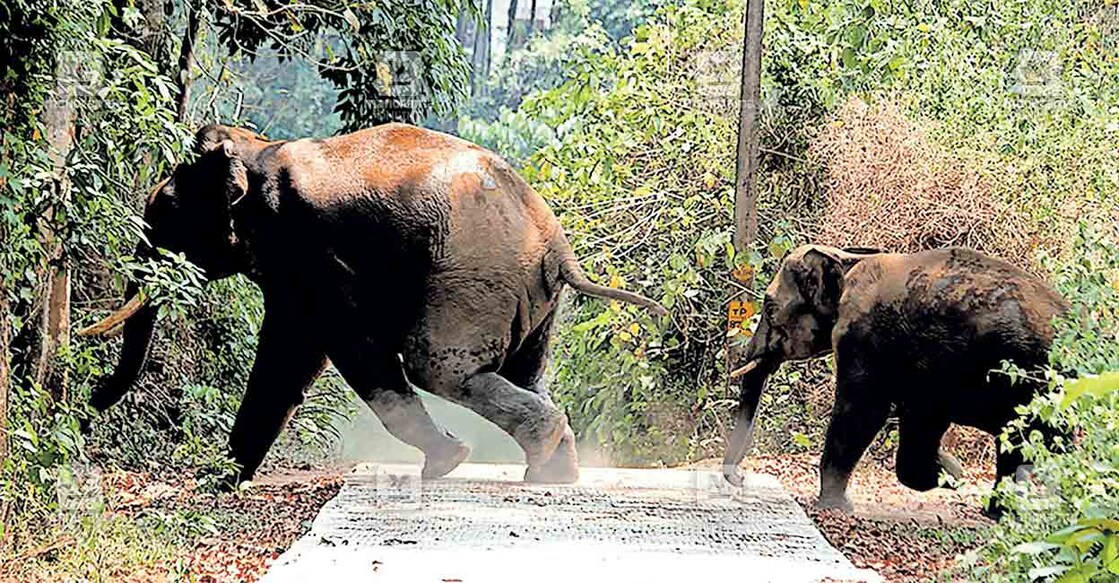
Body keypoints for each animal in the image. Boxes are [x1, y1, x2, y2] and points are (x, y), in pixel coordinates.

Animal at [87, 123, 666, 485]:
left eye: (166, 209)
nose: (93, 396)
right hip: (533, 299)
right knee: (527, 373)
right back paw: (553, 470)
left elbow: (315, 350)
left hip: (472, 281)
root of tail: (557, 245)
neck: (258, 150)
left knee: (438, 367)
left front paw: (215, 482)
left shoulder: (310, 251)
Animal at [720, 242, 1060, 516]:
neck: (847, 259)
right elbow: (918, 419)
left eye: (769, 307)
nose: (742, 478)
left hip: (1034, 384)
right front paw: (952, 472)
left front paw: (837, 507)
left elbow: (862, 411)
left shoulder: (864, 335)